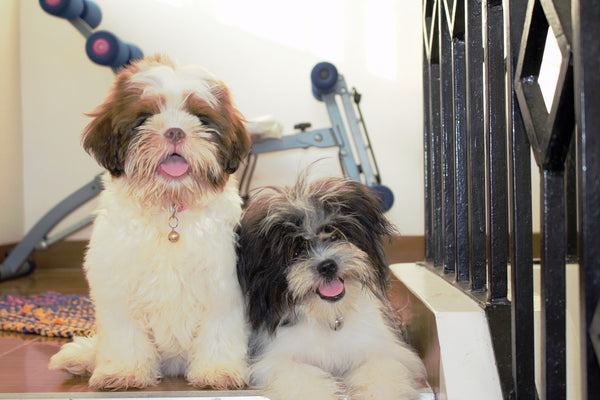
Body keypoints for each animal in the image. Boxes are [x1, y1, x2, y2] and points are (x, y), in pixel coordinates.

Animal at [48, 54, 251, 390]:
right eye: (144, 118)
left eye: (201, 118)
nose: (175, 132)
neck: (168, 206)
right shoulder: (117, 283)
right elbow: (124, 333)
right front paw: (124, 371)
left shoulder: (222, 284)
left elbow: (219, 329)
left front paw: (217, 370)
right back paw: (81, 358)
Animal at [237, 175, 424, 400]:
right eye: (296, 252)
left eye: (334, 235)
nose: (327, 266)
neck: (329, 315)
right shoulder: (275, 360)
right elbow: (300, 377)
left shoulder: (384, 348)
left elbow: (381, 371)